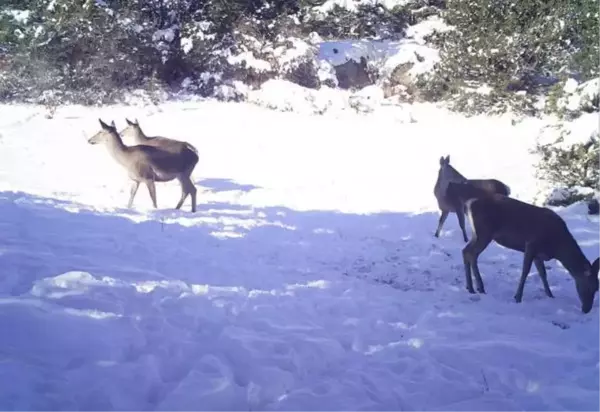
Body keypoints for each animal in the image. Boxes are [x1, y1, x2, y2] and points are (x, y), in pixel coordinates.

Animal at [450, 182, 600, 314]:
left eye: (597, 288)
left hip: (478, 233)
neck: (557, 246)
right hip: (484, 232)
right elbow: (525, 271)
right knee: (470, 253)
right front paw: (518, 297)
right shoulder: (531, 244)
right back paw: (477, 287)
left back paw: (471, 287)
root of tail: (469, 204)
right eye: (590, 287)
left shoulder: (539, 254)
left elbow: (543, 274)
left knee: (467, 252)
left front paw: (550, 295)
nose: (586, 310)